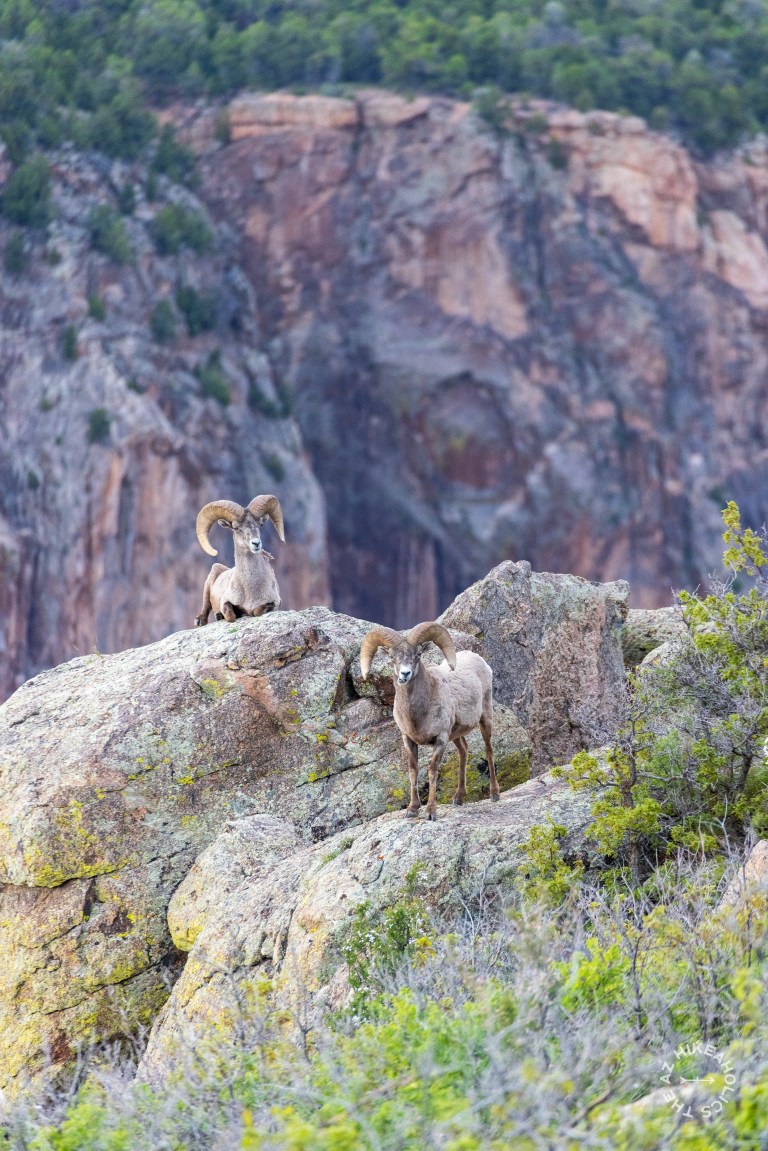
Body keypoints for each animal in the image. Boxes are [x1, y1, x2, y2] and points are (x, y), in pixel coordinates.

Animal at [194, 494, 284, 625]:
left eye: (260, 525)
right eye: (236, 528)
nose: (256, 543)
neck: (251, 590)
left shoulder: (275, 603)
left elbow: (257, 611)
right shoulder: (225, 601)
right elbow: (230, 615)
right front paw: (232, 614)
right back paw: (202, 620)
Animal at [360, 620, 498, 820]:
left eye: (418, 655)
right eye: (392, 657)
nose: (405, 674)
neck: (419, 715)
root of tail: (480, 661)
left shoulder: (440, 739)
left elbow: (432, 771)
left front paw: (431, 812)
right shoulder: (408, 740)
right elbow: (413, 770)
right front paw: (412, 809)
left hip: (485, 719)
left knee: (489, 750)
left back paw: (494, 794)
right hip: (456, 735)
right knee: (464, 751)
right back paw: (458, 798)